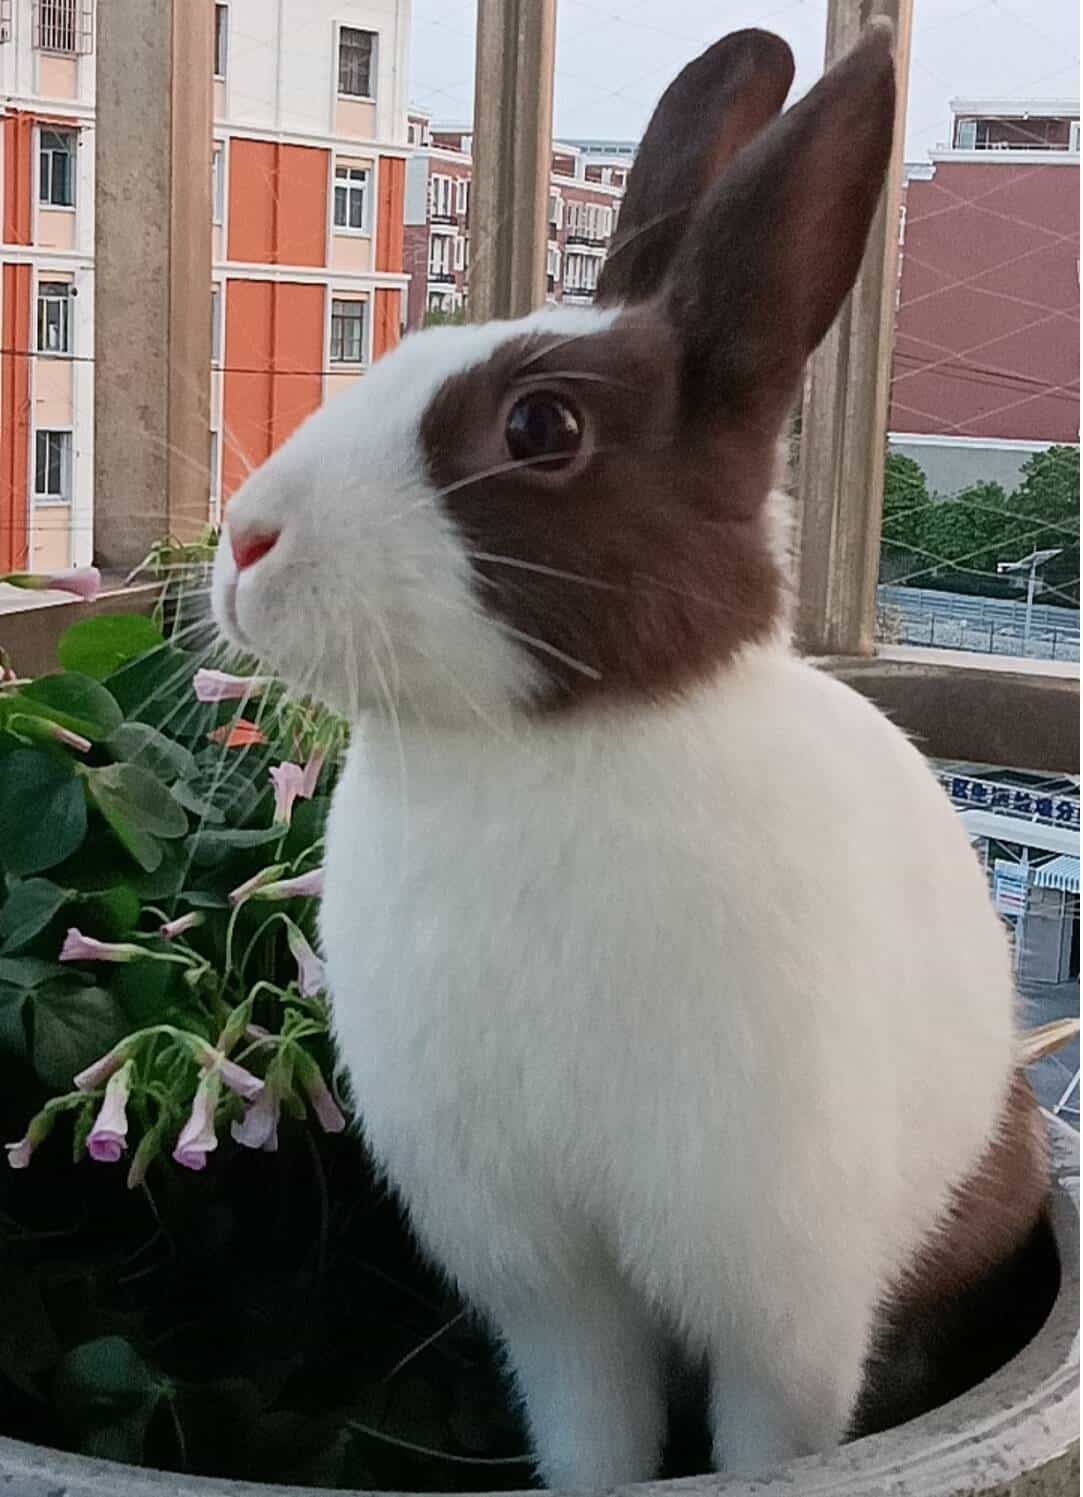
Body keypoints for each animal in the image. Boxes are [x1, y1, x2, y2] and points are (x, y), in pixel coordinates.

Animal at [212, 21, 1051, 1488]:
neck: (533, 754)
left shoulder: (778, 1297)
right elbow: (592, 1430)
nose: (245, 543)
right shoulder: (550, 1286)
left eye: (539, 429)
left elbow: (768, 1438)